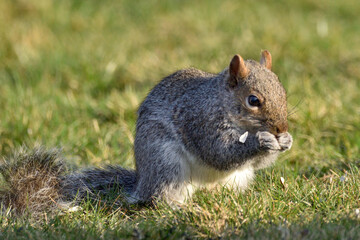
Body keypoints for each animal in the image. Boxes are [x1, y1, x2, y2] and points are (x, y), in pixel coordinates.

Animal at [0, 50, 292, 216]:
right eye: (253, 100)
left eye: (283, 92)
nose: (281, 128)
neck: (222, 102)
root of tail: (141, 183)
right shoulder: (201, 122)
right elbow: (219, 153)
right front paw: (261, 142)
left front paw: (285, 142)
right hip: (166, 164)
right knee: (158, 199)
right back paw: (181, 206)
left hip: (234, 179)